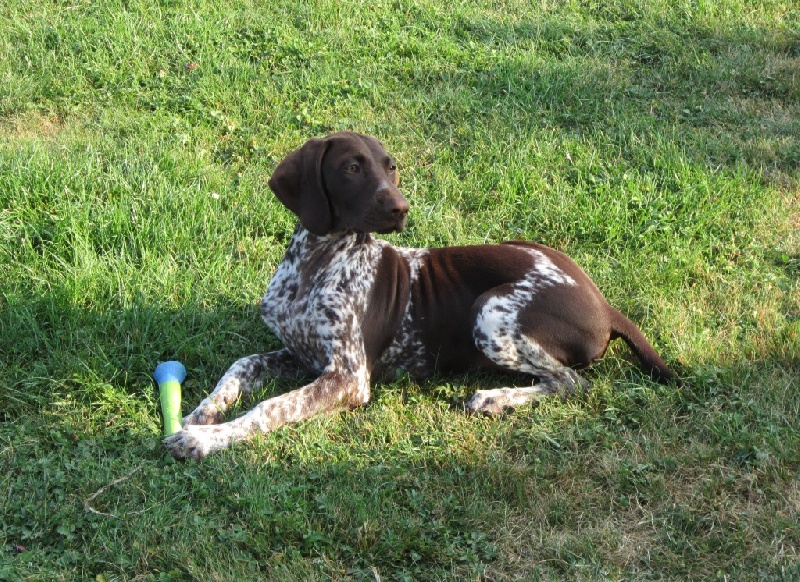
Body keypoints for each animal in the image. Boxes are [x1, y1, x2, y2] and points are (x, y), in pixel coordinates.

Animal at [162, 132, 676, 460]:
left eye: (391, 168)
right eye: (352, 168)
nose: (402, 208)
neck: (316, 263)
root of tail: (603, 302)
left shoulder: (348, 376)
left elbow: (270, 407)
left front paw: (206, 440)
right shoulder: (301, 354)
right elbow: (240, 365)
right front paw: (202, 412)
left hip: (490, 312)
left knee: (571, 382)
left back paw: (496, 398)